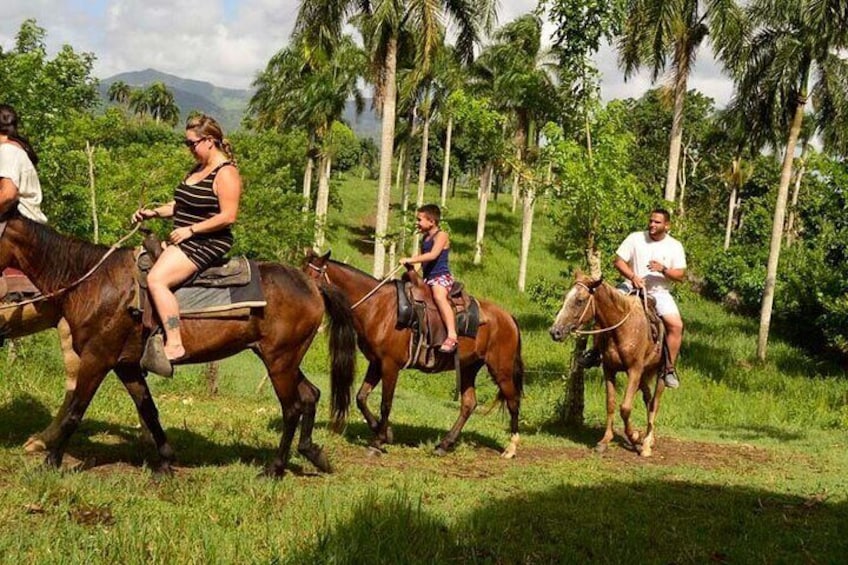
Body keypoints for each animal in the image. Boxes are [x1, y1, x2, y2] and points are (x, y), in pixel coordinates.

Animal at [0, 212, 356, 476]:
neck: (93, 283)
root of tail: (312, 285)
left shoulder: (97, 358)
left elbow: (75, 410)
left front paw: (50, 462)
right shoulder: (126, 366)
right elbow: (149, 410)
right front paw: (167, 460)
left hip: (279, 361)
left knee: (292, 406)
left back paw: (275, 468)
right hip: (285, 359)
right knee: (310, 395)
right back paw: (313, 453)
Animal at [304, 251, 524, 458]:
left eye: (314, 274)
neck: (377, 307)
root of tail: (509, 317)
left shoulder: (390, 365)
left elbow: (385, 403)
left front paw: (378, 442)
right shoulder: (376, 363)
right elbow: (361, 397)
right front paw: (385, 432)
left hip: (501, 369)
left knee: (513, 401)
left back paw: (511, 448)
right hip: (469, 367)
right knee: (469, 404)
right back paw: (444, 445)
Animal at [548, 270, 668, 456]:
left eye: (579, 301)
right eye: (566, 297)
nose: (555, 332)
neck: (623, 329)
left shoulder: (634, 370)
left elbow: (625, 407)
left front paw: (634, 437)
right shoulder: (610, 369)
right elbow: (610, 404)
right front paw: (605, 440)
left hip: (660, 372)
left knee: (655, 402)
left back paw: (647, 443)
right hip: (644, 374)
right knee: (648, 398)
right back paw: (650, 439)